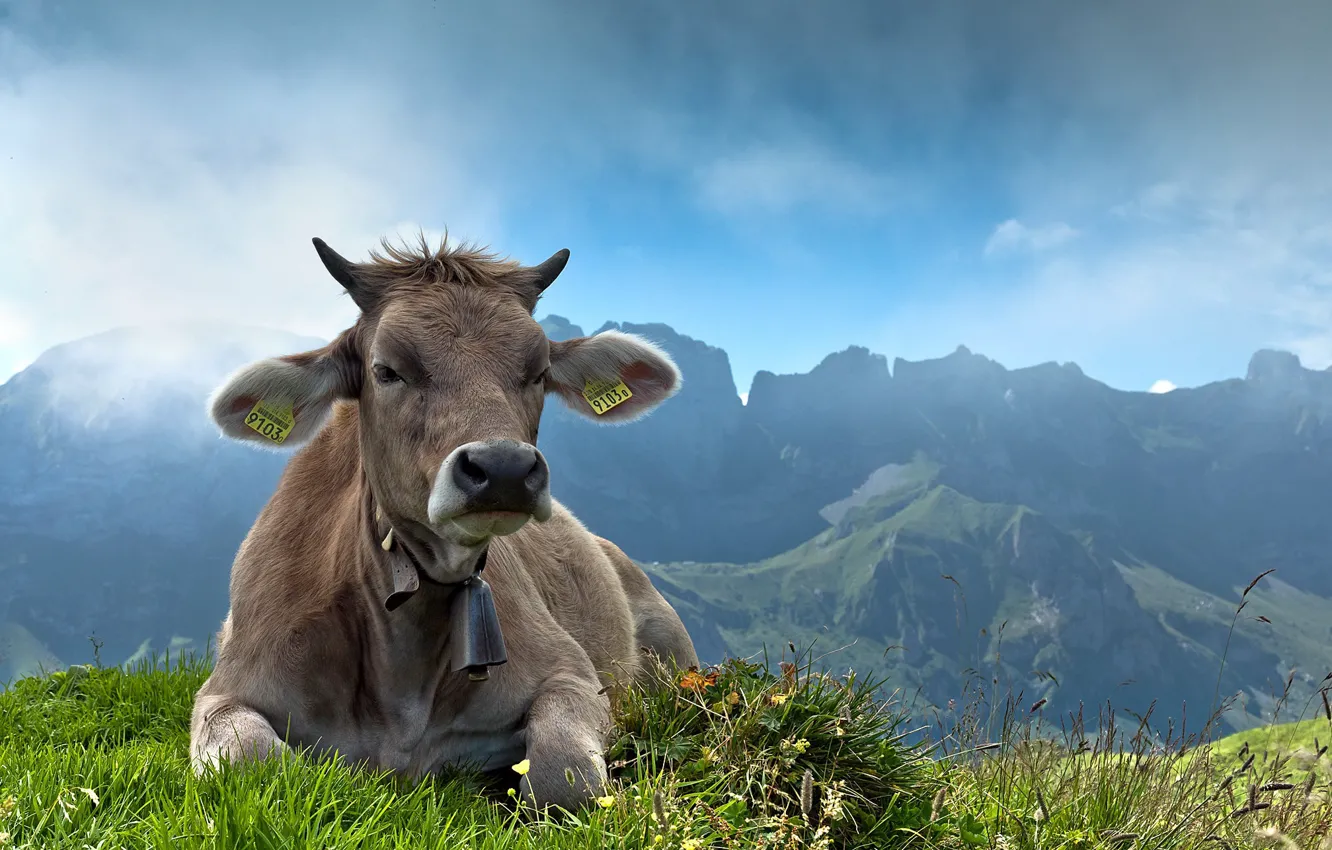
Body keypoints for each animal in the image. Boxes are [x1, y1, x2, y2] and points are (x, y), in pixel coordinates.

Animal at [189, 233, 699, 811]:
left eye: (539, 372)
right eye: (387, 370)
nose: (504, 469)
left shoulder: (571, 673)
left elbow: (561, 775)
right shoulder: (227, 689)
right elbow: (255, 767)